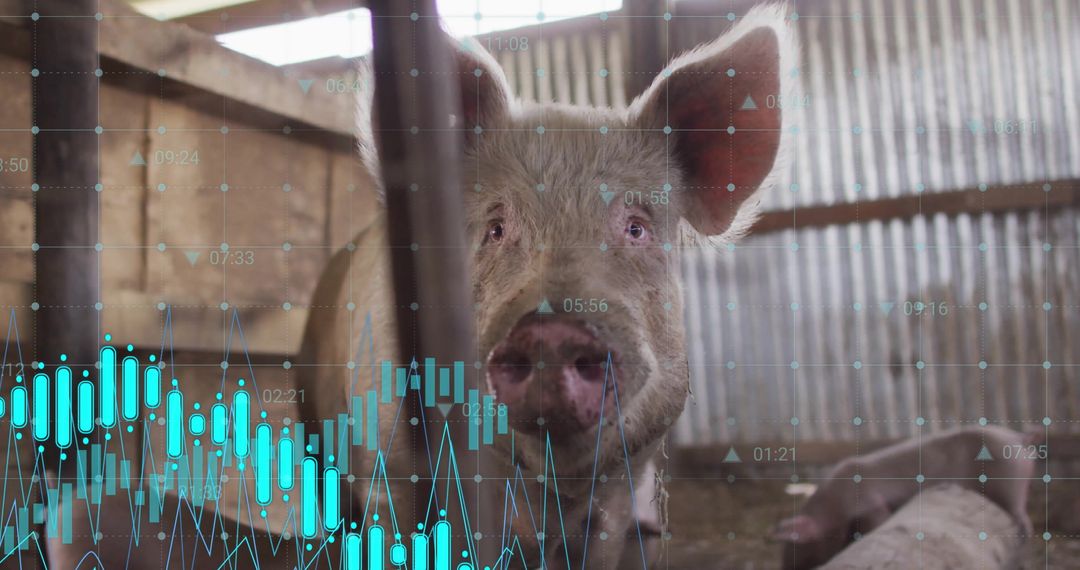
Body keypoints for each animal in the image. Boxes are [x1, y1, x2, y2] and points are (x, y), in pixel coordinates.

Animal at [773, 426, 1038, 570]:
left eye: (801, 546)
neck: (833, 505)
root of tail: (1017, 437)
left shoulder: (870, 505)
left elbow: (878, 521)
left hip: (1010, 484)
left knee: (1024, 521)